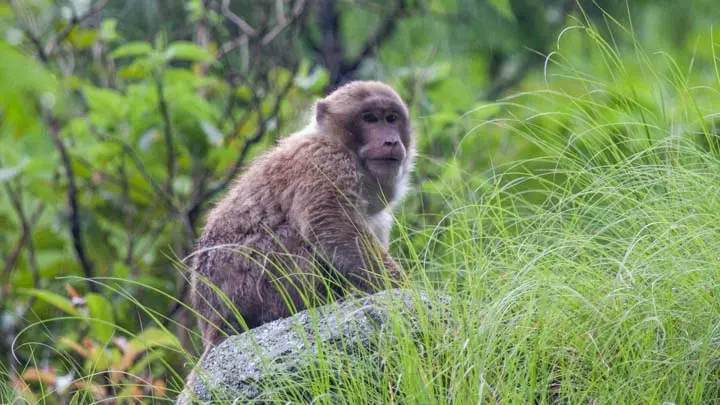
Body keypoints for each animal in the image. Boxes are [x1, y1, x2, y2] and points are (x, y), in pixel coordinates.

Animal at [190, 80, 416, 348]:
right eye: (370, 119)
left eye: (391, 118)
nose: (390, 140)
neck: (337, 143)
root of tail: (212, 328)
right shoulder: (326, 161)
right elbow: (331, 224)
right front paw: (401, 287)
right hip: (254, 291)